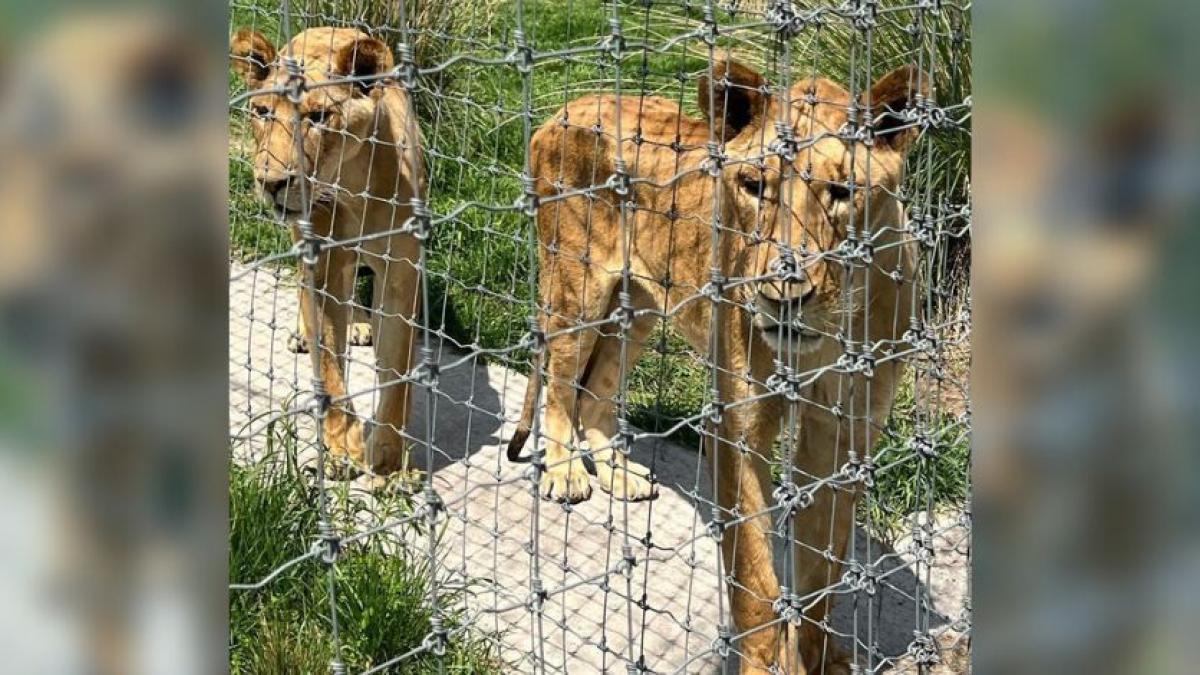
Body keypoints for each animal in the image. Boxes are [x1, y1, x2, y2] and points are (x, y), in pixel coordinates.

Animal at [231, 27, 424, 473]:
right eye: (262, 112)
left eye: (318, 117)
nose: (271, 182)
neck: (352, 186)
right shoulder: (321, 267)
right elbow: (330, 367)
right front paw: (342, 446)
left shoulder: (401, 271)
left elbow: (398, 369)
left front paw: (389, 461)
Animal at [506, 60, 926, 667]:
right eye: (753, 186)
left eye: (843, 192)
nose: (782, 294)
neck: (827, 336)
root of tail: (567, 107)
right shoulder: (735, 428)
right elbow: (754, 581)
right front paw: (764, 662)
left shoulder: (846, 436)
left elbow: (823, 572)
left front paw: (819, 656)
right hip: (575, 288)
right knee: (561, 381)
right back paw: (564, 472)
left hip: (638, 307)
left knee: (596, 391)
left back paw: (618, 473)